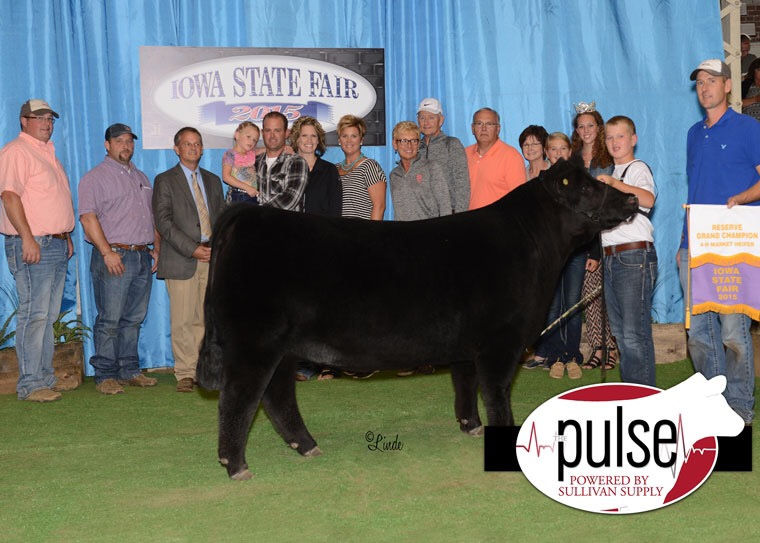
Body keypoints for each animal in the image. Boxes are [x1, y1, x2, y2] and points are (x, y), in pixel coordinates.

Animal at [196, 158, 640, 480]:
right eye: (587, 186)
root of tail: (247, 216)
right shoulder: (501, 342)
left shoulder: (469, 345)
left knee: (277, 396)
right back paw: (236, 466)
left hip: (283, 348)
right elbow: (496, 392)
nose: (633, 201)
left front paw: (470, 425)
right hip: (255, 342)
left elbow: (465, 385)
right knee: (239, 398)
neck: (534, 248)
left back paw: (306, 445)